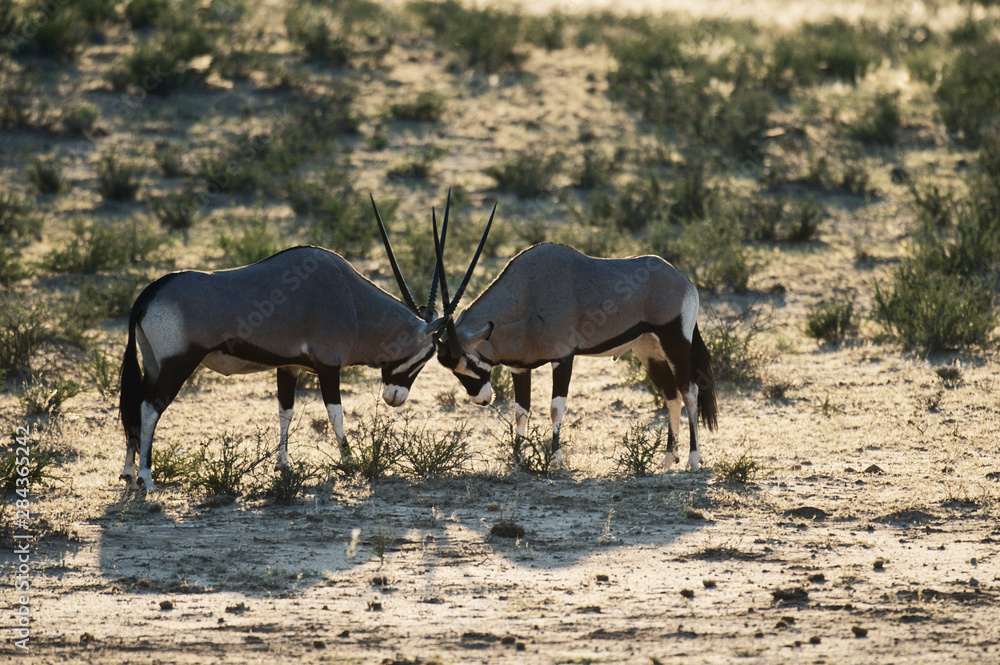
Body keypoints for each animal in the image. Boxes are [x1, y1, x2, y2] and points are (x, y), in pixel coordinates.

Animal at [118, 195, 492, 490]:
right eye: (429, 354)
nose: (394, 398)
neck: (351, 300)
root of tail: (149, 292)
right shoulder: (328, 367)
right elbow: (335, 413)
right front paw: (350, 461)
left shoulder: (289, 367)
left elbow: (285, 410)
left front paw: (283, 465)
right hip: (178, 364)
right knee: (149, 407)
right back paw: (147, 478)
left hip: (153, 364)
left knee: (134, 404)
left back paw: (128, 473)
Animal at [434, 241, 716, 470]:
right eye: (452, 370)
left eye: (469, 362)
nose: (481, 400)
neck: (526, 294)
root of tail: (684, 280)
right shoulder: (520, 367)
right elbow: (521, 411)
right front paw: (517, 459)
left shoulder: (563, 359)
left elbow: (555, 408)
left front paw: (554, 459)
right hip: (649, 351)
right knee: (671, 396)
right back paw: (668, 459)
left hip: (674, 342)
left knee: (689, 392)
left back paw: (693, 459)